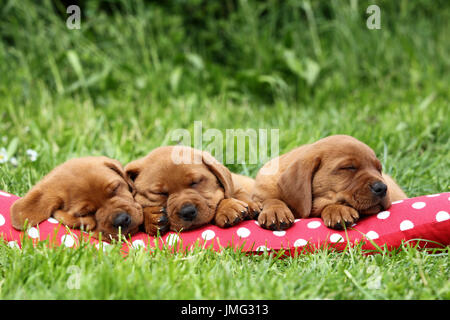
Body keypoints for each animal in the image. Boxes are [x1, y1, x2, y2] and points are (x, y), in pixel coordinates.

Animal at [125, 146, 262, 236]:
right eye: (160, 193)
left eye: (195, 182)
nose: (188, 212)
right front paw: (151, 217)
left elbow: (233, 194)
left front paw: (228, 207)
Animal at [253, 135, 408, 230]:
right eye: (349, 167)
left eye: (379, 169)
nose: (382, 187)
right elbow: (271, 199)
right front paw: (275, 212)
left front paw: (337, 210)